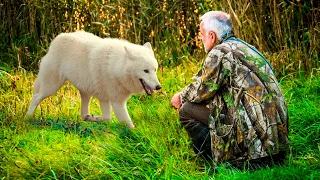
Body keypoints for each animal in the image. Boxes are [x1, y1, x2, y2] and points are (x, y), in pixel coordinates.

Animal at [24, 31, 162, 129]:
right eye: (145, 71)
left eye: (154, 70)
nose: (158, 87)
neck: (115, 66)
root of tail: (57, 38)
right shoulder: (117, 102)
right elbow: (125, 122)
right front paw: (136, 136)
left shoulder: (105, 99)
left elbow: (107, 117)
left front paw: (94, 118)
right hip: (51, 87)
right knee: (36, 97)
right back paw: (27, 118)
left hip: (85, 92)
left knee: (83, 113)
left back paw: (87, 117)